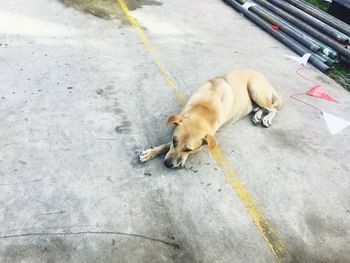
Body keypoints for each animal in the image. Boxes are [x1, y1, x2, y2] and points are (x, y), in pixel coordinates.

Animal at [139, 69, 282, 169]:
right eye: (174, 141)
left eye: (189, 150)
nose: (167, 164)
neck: (206, 106)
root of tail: (262, 76)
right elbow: (166, 145)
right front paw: (152, 152)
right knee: (262, 108)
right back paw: (257, 116)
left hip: (255, 89)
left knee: (273, 108)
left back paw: (266, 118)